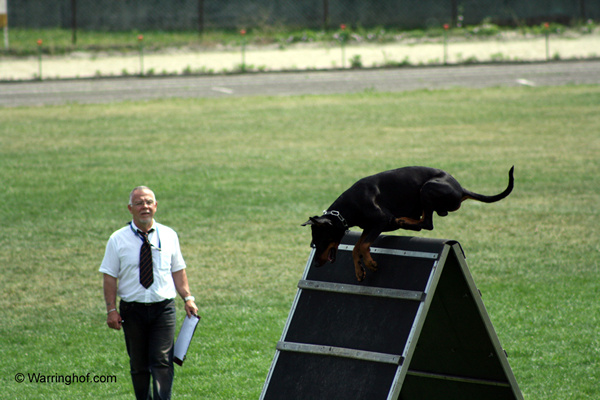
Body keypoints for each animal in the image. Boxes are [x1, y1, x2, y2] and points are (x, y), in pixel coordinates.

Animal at [302, 166, 512, 282]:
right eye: (314, 243)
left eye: (320, 241)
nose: (317, 264)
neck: (350, 206)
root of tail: (460, 189)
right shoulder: (369, 227)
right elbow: (356, 247)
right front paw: (360, 271)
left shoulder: (381, 221)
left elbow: (363, 245)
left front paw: (370, 264)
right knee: (426, 220)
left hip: (427, 188)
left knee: (426, 223)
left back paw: (403, 220)